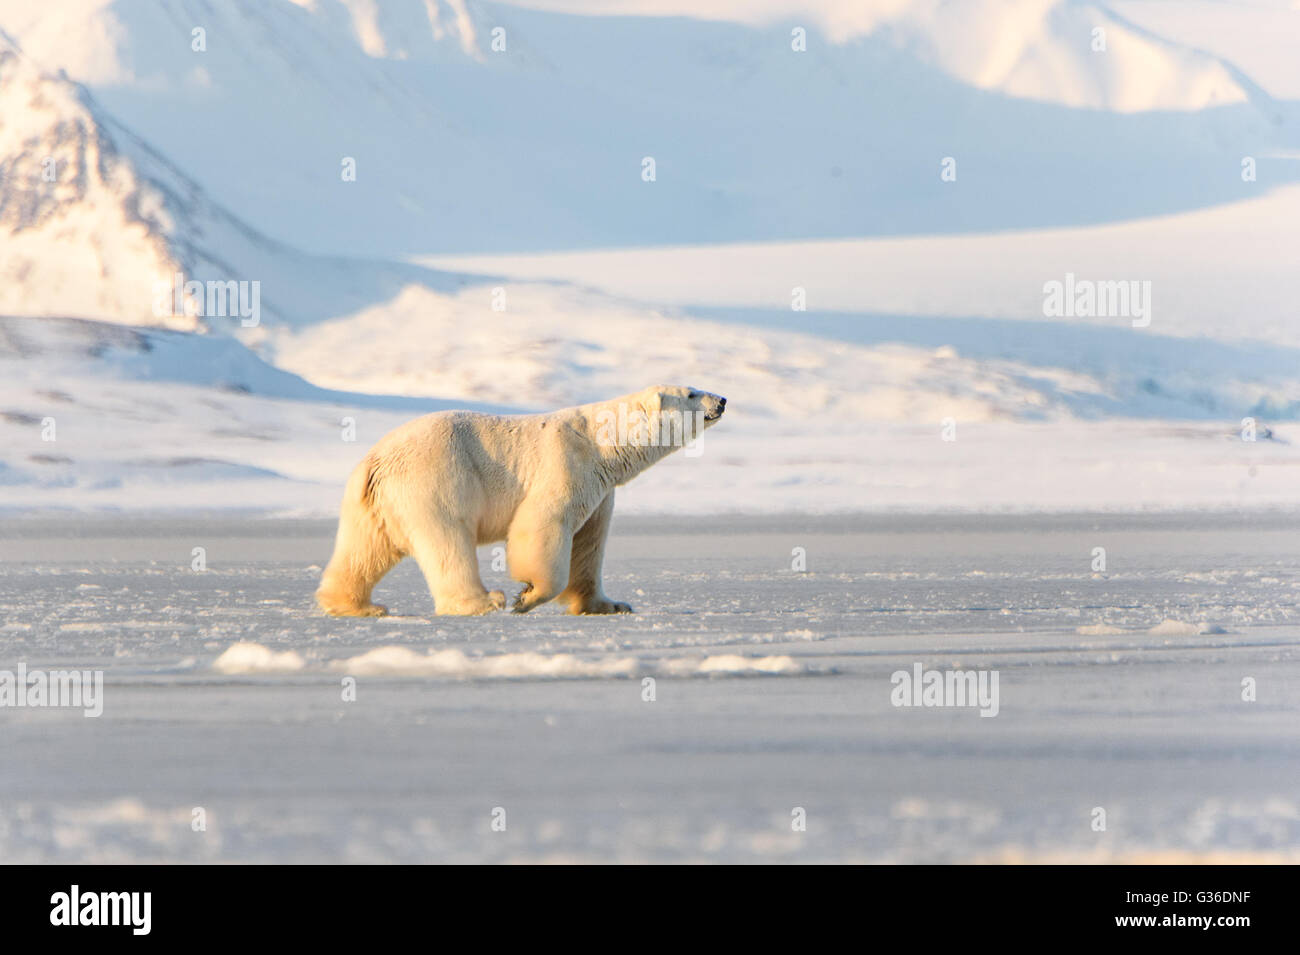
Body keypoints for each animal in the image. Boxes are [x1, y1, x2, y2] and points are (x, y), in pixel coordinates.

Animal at [316, 385, 726, 616]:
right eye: (691, 392)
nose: (722, 399)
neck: (603, 443)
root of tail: (375, 461)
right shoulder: (566, 462)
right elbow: (544, 525)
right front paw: (525, 597)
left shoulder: (602, 490)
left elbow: (588, 545)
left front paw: (611, 605)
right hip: (436, 478)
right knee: (448, 541)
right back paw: (484, 601)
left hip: (371, 501)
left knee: (363, 549)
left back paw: (357, 605)